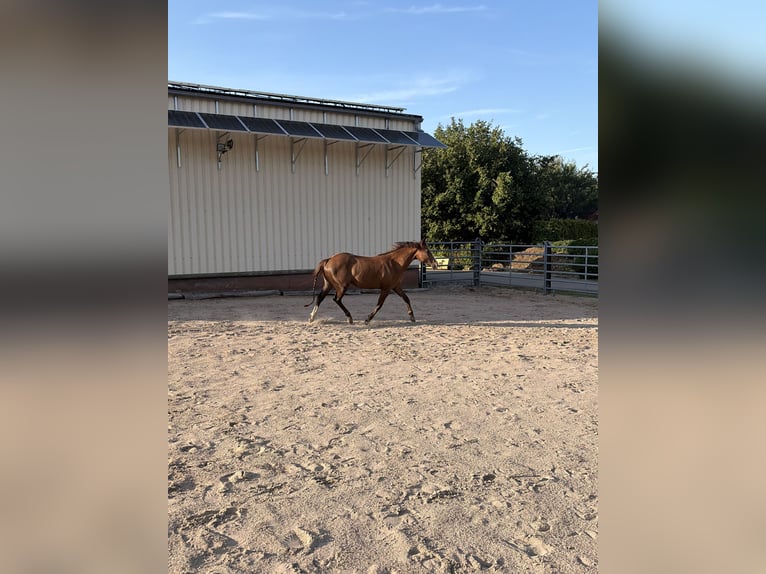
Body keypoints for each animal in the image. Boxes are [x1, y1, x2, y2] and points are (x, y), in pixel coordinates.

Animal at [305, 240, 438, 325]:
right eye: (427, 250)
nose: (436, 264)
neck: (394, 263)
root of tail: (328, 260)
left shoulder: (396, 287)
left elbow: (406, 299)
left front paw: (412, 317)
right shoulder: (386, 288)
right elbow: (379, 305)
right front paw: (367, 319)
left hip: (328, 285)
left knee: (320, 298)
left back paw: (311, 318)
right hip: (342, 286)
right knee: (336, 299)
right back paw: (349, 318)